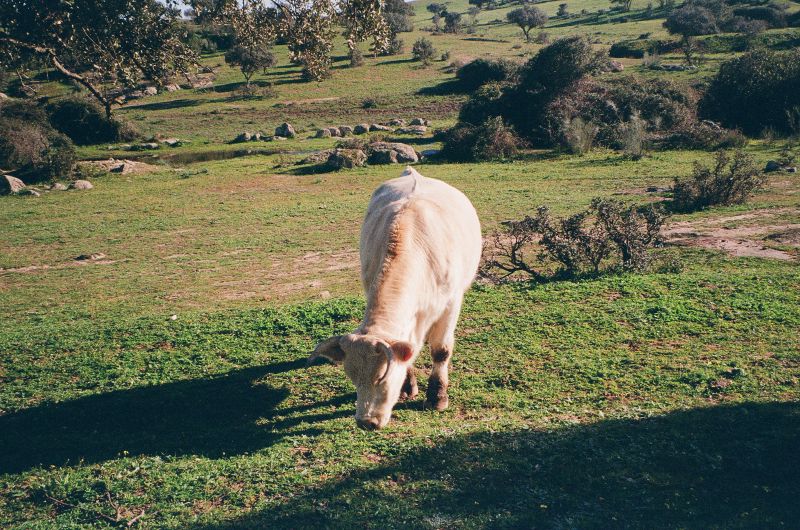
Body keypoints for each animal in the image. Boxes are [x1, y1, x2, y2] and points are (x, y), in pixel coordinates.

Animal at [307, 166, 482, 430]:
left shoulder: (451, 304)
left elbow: (441, 350)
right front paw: (408, 387)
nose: (366, 421)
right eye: (352, 376)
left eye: (381, 376)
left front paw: (437, 397)